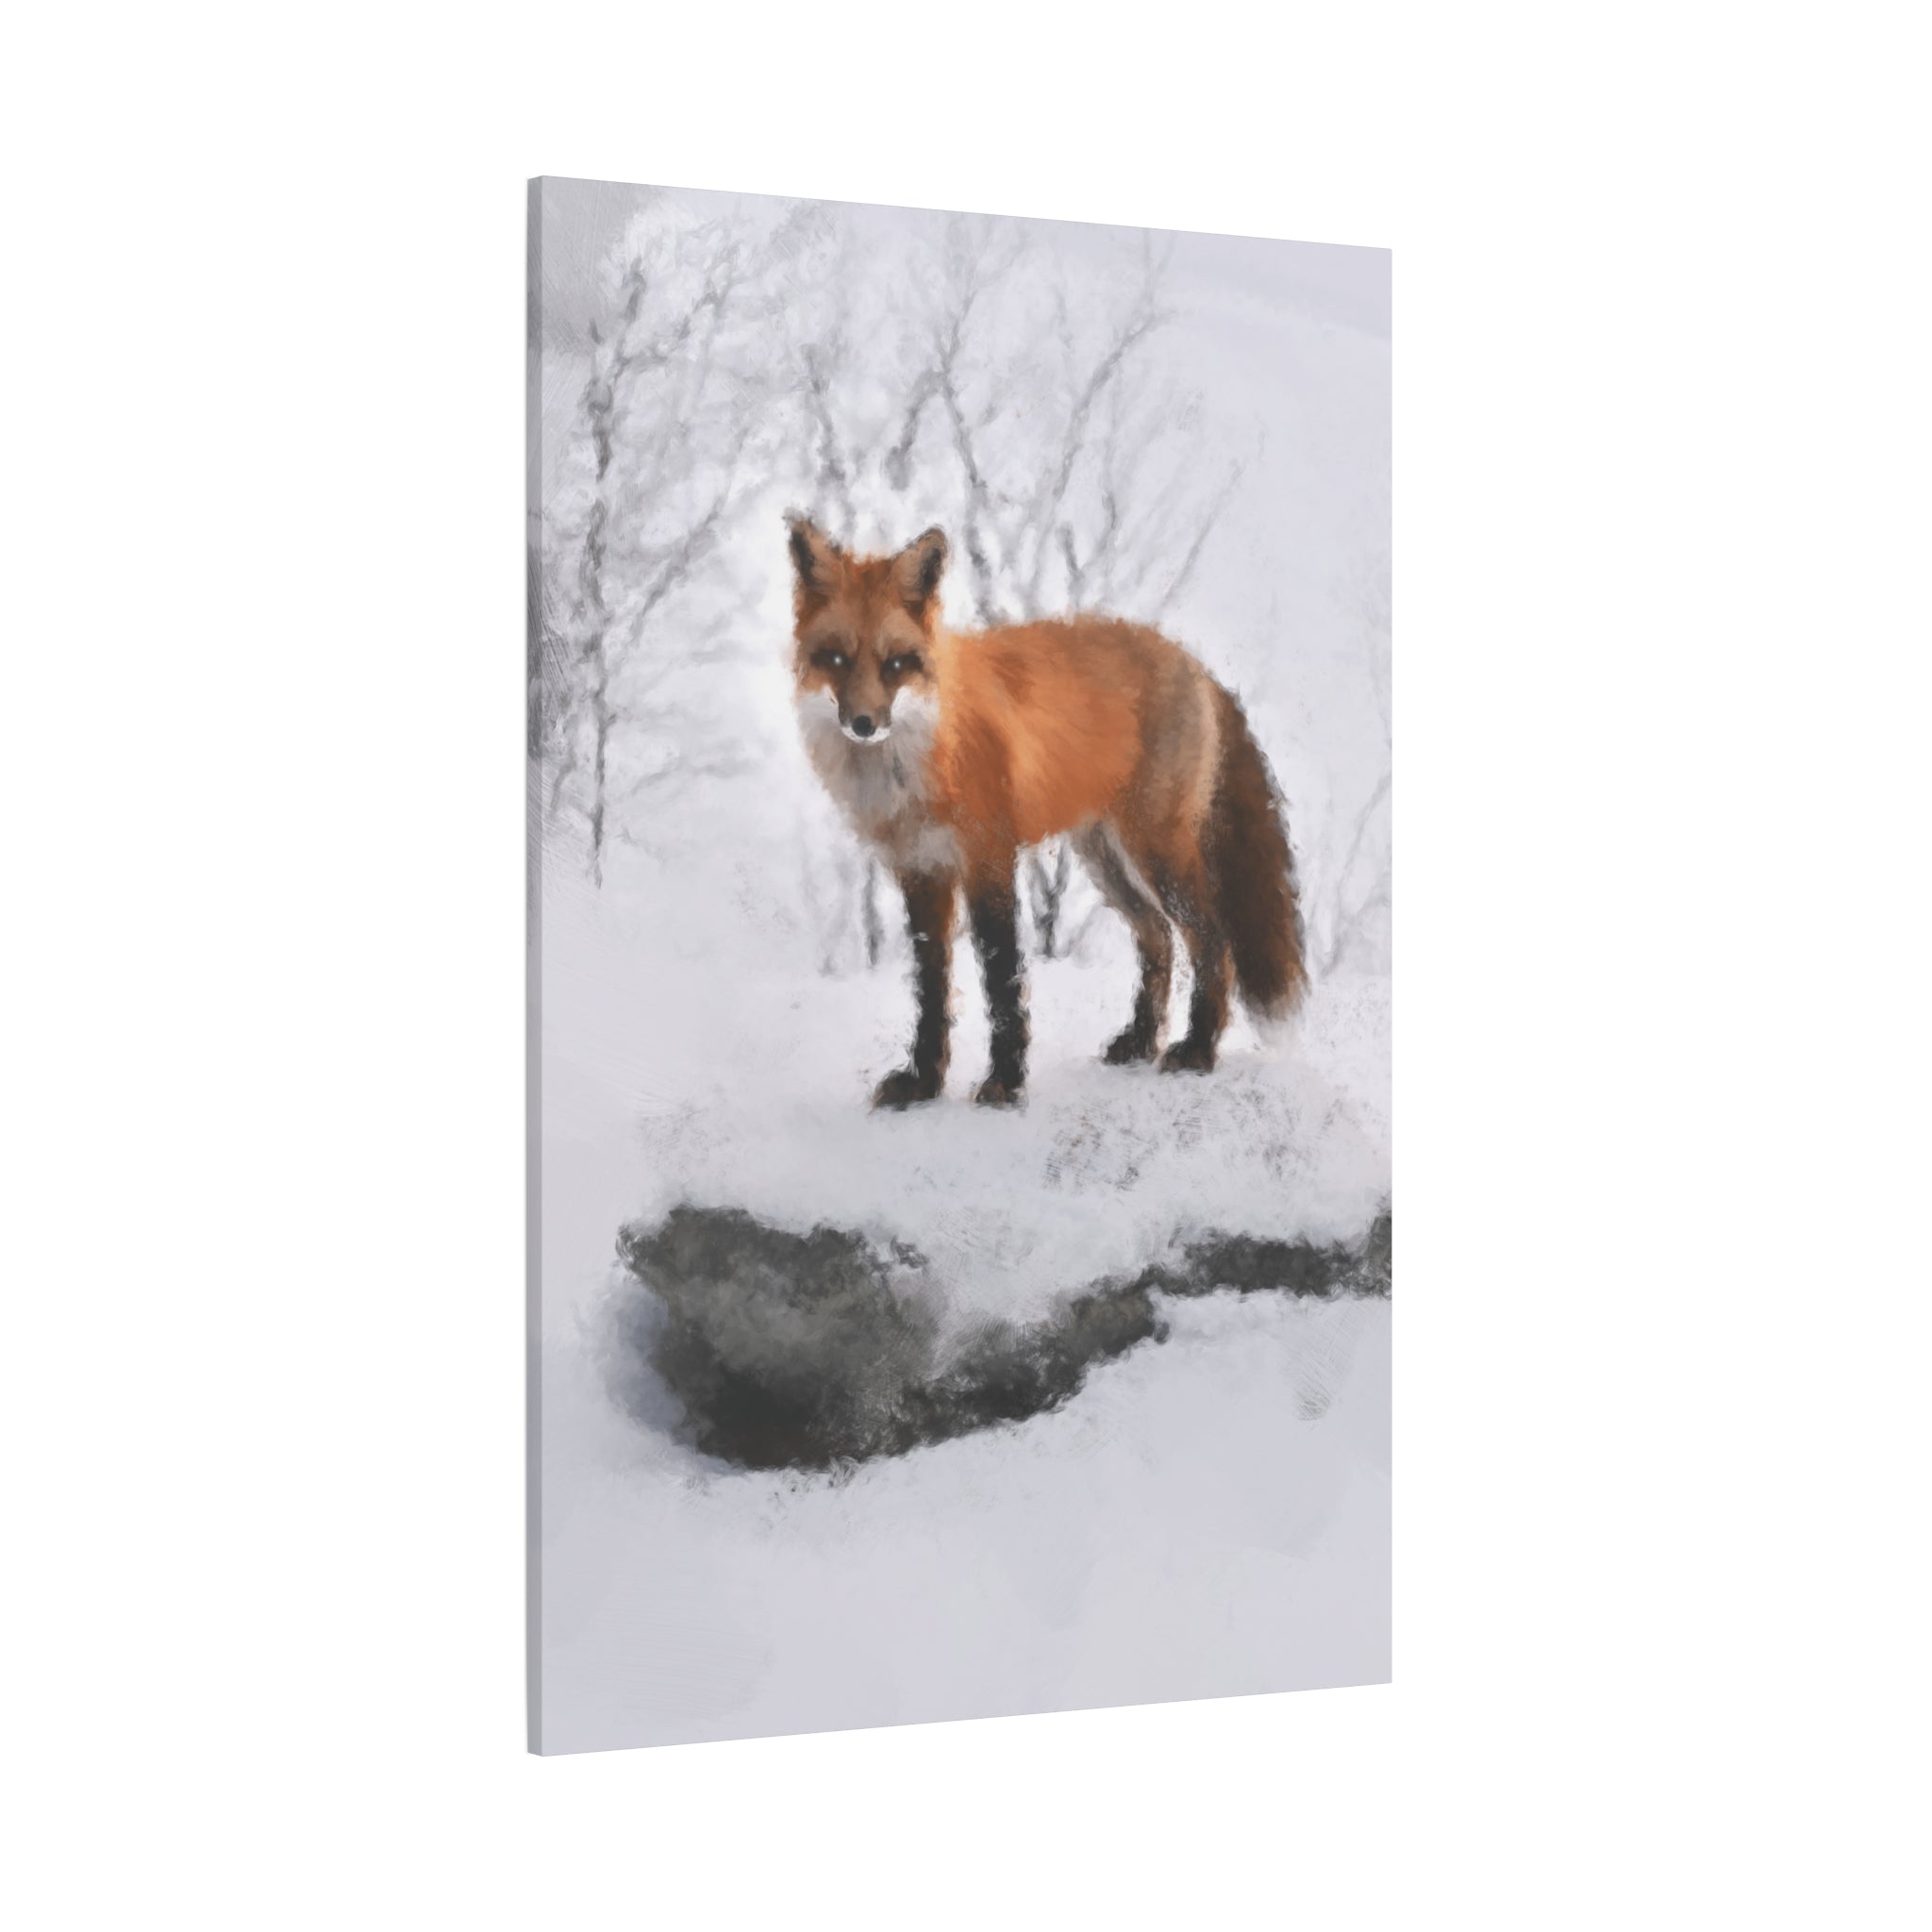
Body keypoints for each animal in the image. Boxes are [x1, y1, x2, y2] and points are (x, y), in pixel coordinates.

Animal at [788, 514, 1306, 1110]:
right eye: (837, 659)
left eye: (895, 664)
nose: (864, 724)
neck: (920, 758)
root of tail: (1193, 661)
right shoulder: (921, 871)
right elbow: (931, 988)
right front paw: (923, 1082)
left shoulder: (988, 858)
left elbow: (1001, 978)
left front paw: (1005, 1082)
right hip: (1106, 861)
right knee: (1157, 939)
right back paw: (1141, 1041)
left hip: (1157, 854)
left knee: (1211, 940)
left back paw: (1198, 1049)